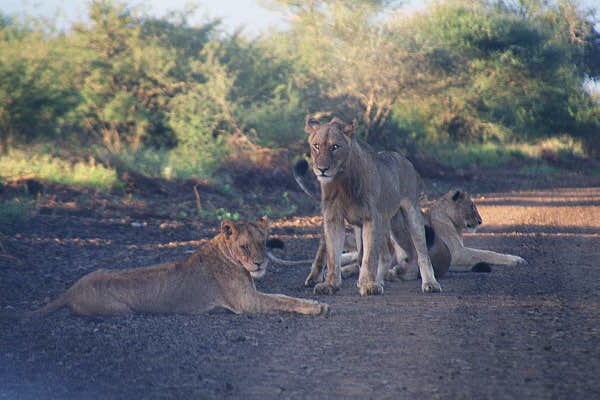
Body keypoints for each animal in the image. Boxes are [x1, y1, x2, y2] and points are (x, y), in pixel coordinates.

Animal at [24, 217, 328, 318]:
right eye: (244, 247)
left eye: (263, 243)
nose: (260, 262)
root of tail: (72, 289)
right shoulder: (246, 302)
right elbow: (284, 299)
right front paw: (316, 306)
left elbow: (283, 297)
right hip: (121, 311)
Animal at [304, 114, 440, 296]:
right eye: (316, 146)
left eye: (334, 147)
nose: (322, 169)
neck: (342, 182)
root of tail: (406, 160)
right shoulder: (333, 218)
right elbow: (333, 256)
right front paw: (330, 284)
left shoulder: (371, 218)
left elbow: (369, 257)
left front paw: (368, 285)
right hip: (384, 222)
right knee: (386, 254)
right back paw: (378, 280)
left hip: (410, 214)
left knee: (420, 252)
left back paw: (430, 283)